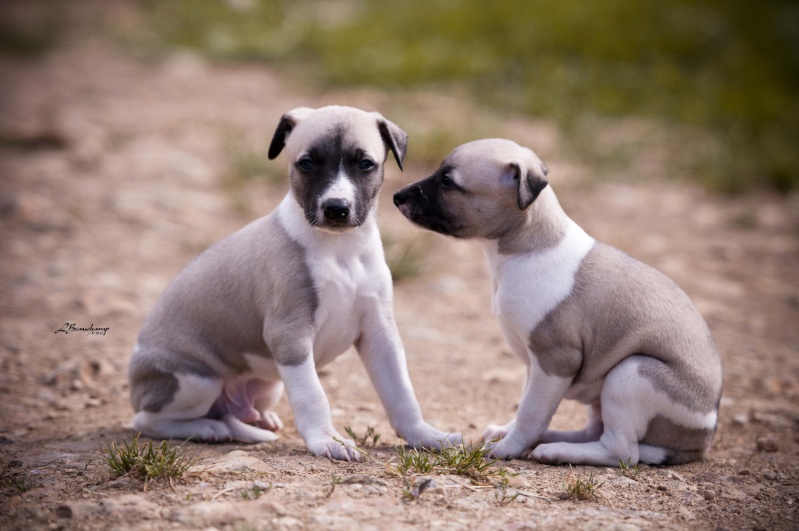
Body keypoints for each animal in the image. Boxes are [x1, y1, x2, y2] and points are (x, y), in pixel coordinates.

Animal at [128, 105, 460, 462]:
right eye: (307, 163)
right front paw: (329, 440)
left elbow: (401, 392)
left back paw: (256, 418)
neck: (340, 249)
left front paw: (425, 434)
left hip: (267, 387)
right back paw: (207, 428)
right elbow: (312, 395)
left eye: (365, 164)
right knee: (146, 419)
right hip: (195, 382)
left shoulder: (379, 333)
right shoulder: (290, 335)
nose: (336, 209)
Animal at [394, 138, 724, 466]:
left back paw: (556, 450)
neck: (530, 245)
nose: (397, 197)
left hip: (631, 373)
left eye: (448, 181)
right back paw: (554, 439)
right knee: (595, 431)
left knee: (621, 450)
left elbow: (531, 412)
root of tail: (701, 442)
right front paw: (507, 433)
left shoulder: (555, 361)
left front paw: (508, 447)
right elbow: (526, 406)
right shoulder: (533, 366)